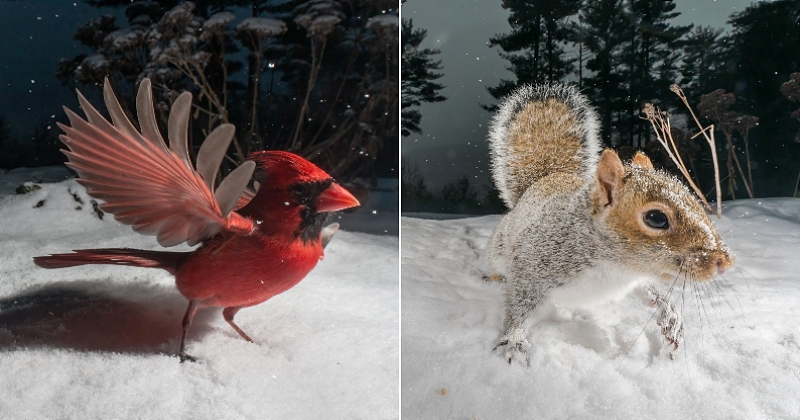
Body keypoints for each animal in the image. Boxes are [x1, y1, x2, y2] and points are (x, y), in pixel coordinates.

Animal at [484, 83, 736, 362]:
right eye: (656, 218)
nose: (725, 263)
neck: (616, 267)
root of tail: (546, 178)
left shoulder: (634, 278)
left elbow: (649, 291)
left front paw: (669, 315)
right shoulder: (531, 267)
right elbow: (520, 308)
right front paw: (514, 341)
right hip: (499, 250)